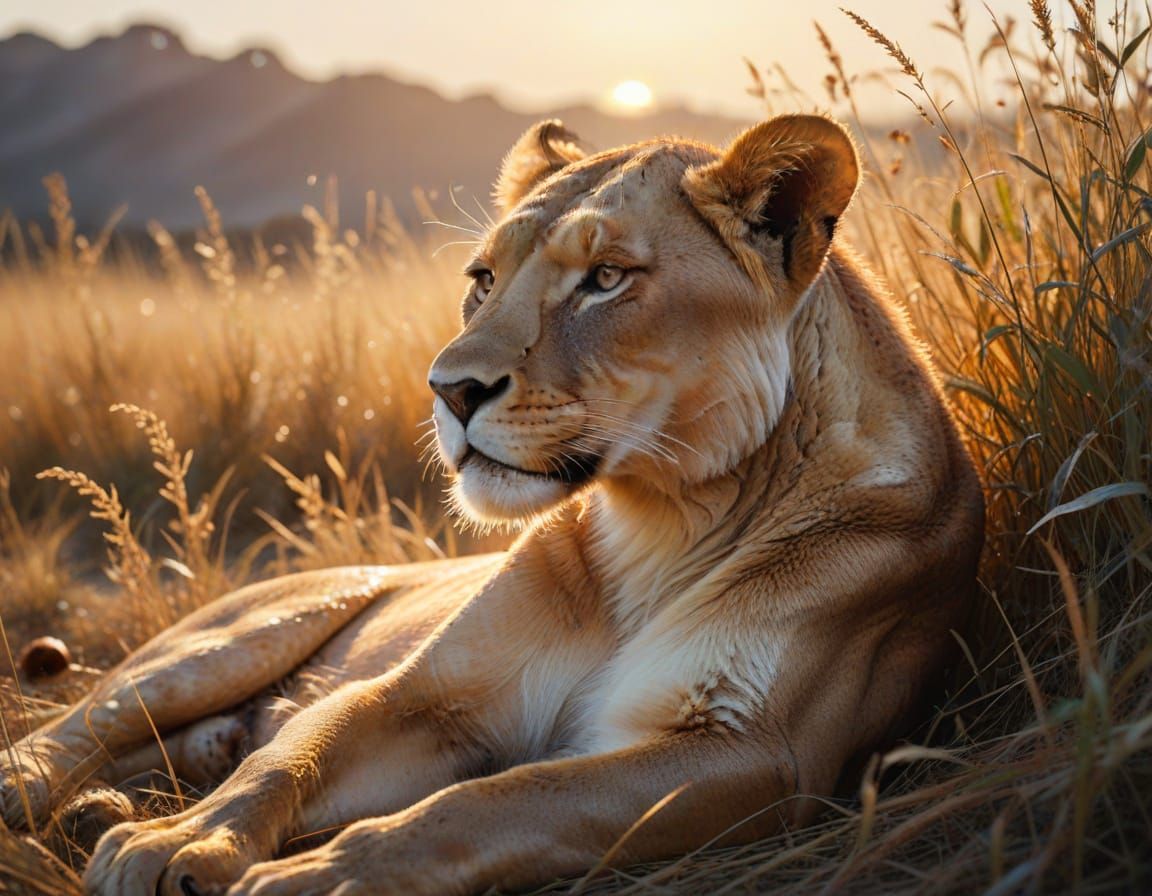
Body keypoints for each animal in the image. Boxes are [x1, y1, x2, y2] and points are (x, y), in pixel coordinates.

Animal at [0, 114, 983, 895]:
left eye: (606, 278)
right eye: (482, 278)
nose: (448, 388)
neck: (656, 527)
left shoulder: (751, 754)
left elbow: (494, 800)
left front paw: (319, 877)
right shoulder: (423, 696)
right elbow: (285, 762)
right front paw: (179, 841)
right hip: (232, 639)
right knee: (79, 725)